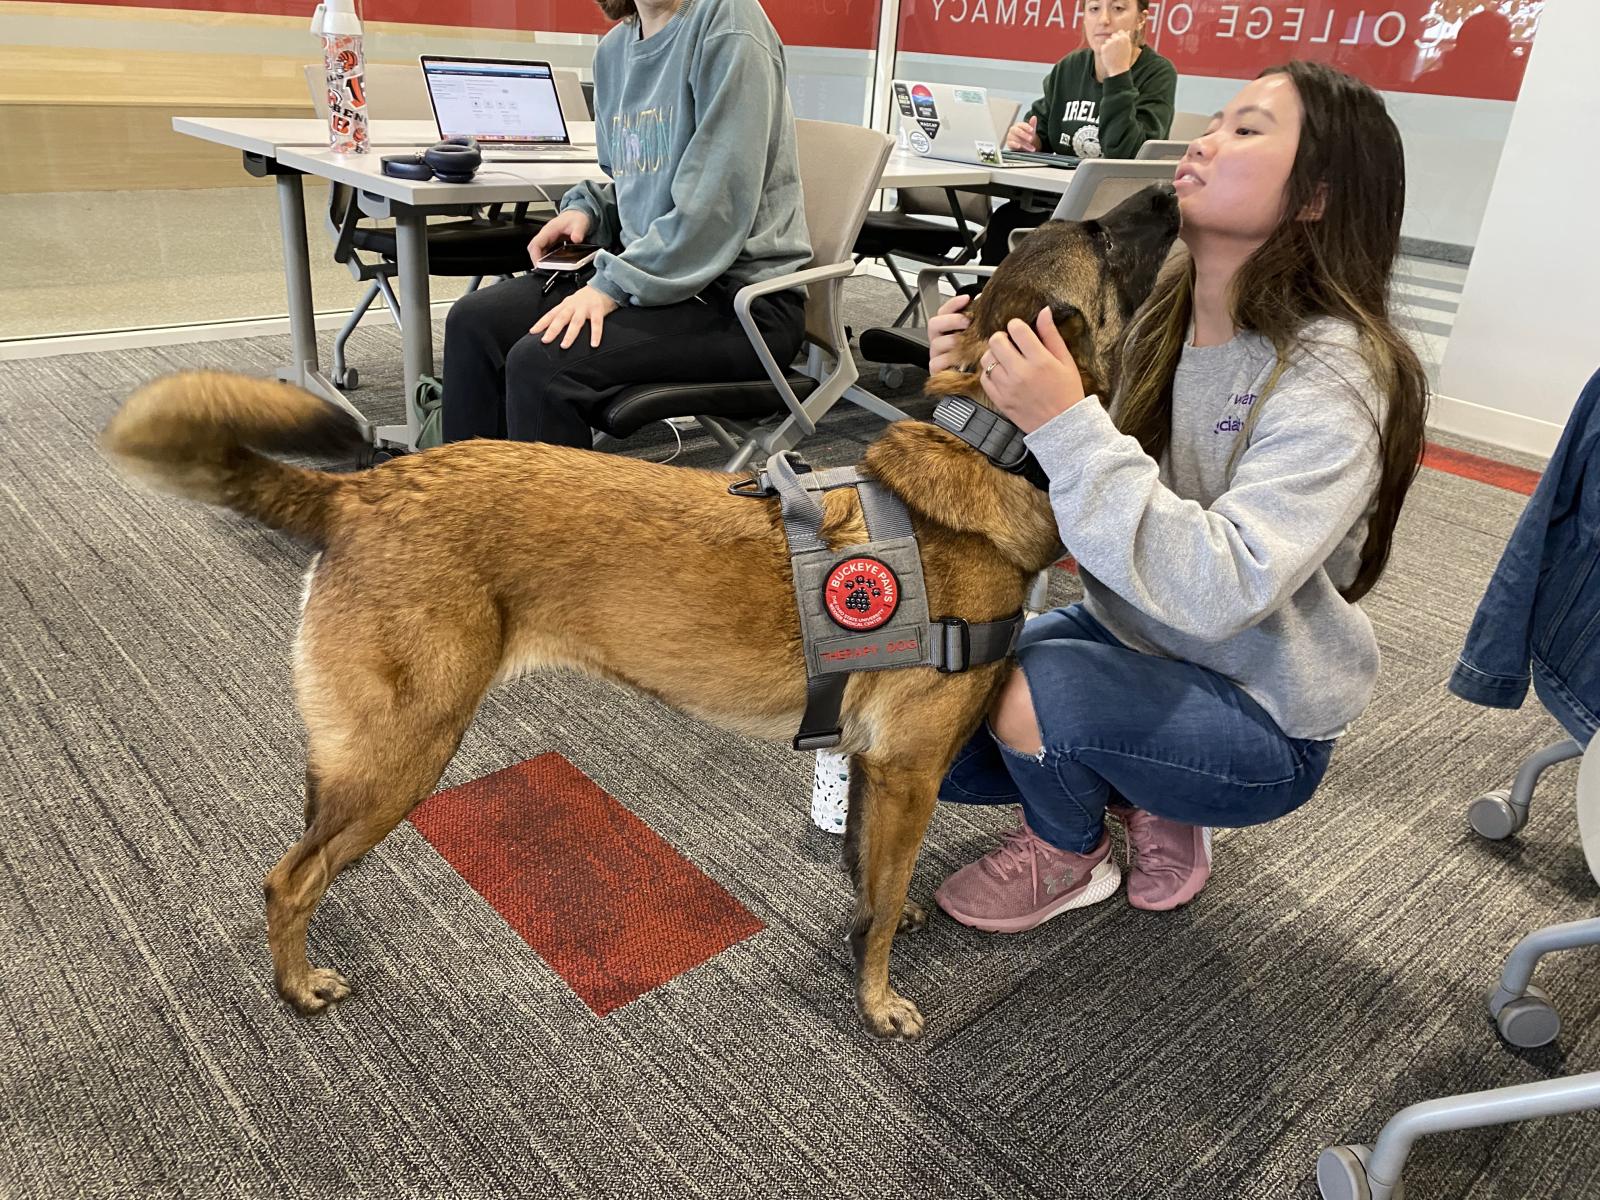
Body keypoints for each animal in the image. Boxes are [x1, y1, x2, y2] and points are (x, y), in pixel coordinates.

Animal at [100, 183, 1177, 1036]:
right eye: (1102, 240)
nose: (1172, 185)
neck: (984, 443)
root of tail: (362, 491)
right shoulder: (910, 771)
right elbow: (874, 909)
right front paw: (877, 1000)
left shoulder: (875, 768)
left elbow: (870, 878)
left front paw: (890, 915)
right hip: (401, 756)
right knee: (289, 879)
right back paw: (298, 987)